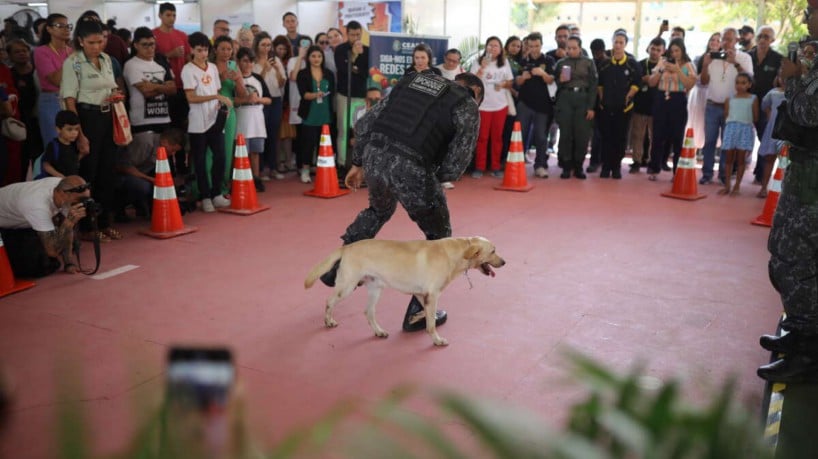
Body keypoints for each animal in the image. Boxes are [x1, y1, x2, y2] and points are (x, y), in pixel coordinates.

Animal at [302, 237, 500, 344]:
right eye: (493, 251)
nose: (504, 262)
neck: (455, 253)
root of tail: (347, 247)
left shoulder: (423, 294)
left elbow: (428, 314)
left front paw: (417, 318)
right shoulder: (432, 294)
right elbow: (431, 323)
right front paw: (437, 340)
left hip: (375, 288)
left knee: (368, 312)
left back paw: (379, 331)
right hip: (347, 287)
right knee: (329, 301)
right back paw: (328, 321)